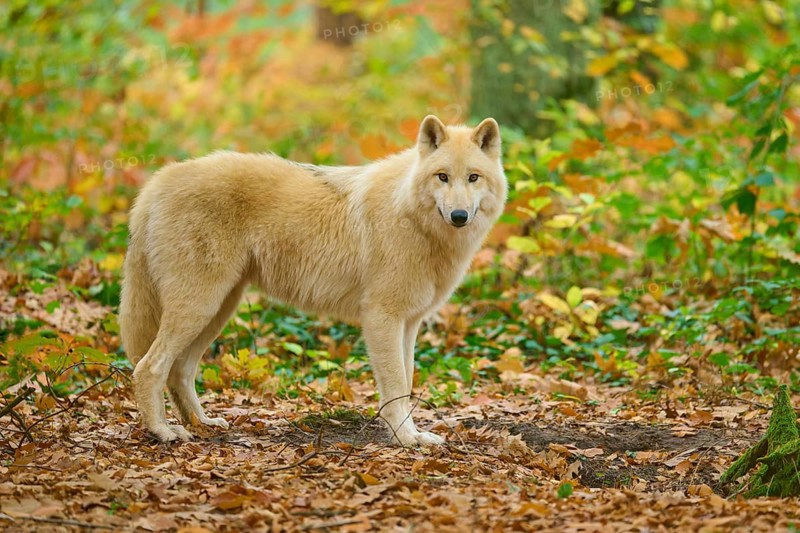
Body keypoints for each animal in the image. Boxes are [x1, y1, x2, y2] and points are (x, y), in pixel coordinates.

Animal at [119, 115, 507, 446]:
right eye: (442, 176)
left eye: (473, 177)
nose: (459, 216)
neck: (410, 215)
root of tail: (159, 181)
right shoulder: (381, 318)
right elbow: (396, 384)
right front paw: (404, 439)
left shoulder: (409, 323)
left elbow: (407, 382)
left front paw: (413, 435)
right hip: (199, 308)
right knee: (148, 368)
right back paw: (163, 432)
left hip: (217, 310)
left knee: (180, 371)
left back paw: (201, 423)